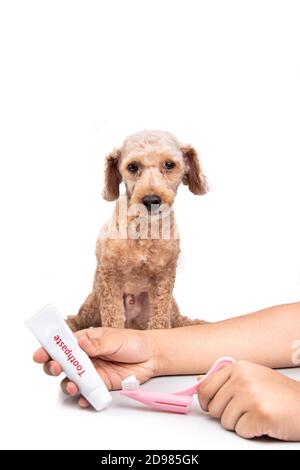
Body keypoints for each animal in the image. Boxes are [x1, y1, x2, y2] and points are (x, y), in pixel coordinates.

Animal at [67, 129, 209, 330]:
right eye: (132, 166)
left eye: (169, 164)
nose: (151, 200)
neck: (144, 230)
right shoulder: (110, 276)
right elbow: (113, 318)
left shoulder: (164, 277)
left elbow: (160, 320)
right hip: (94, 300)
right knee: (77, 318)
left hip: (170, 306)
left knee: (178, 320)